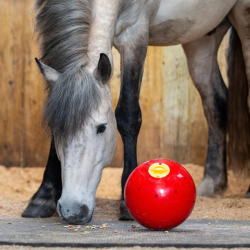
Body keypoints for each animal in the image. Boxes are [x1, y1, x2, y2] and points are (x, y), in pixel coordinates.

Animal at [21, 0, 250, 224]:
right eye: (55, 129)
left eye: (102, 128)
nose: (72, 210)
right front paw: (42, 198)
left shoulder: (135, 34)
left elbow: (128, 115)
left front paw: (126, 202)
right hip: (201, 38)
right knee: (216, 103)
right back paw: (212, 182)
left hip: (242, 18)